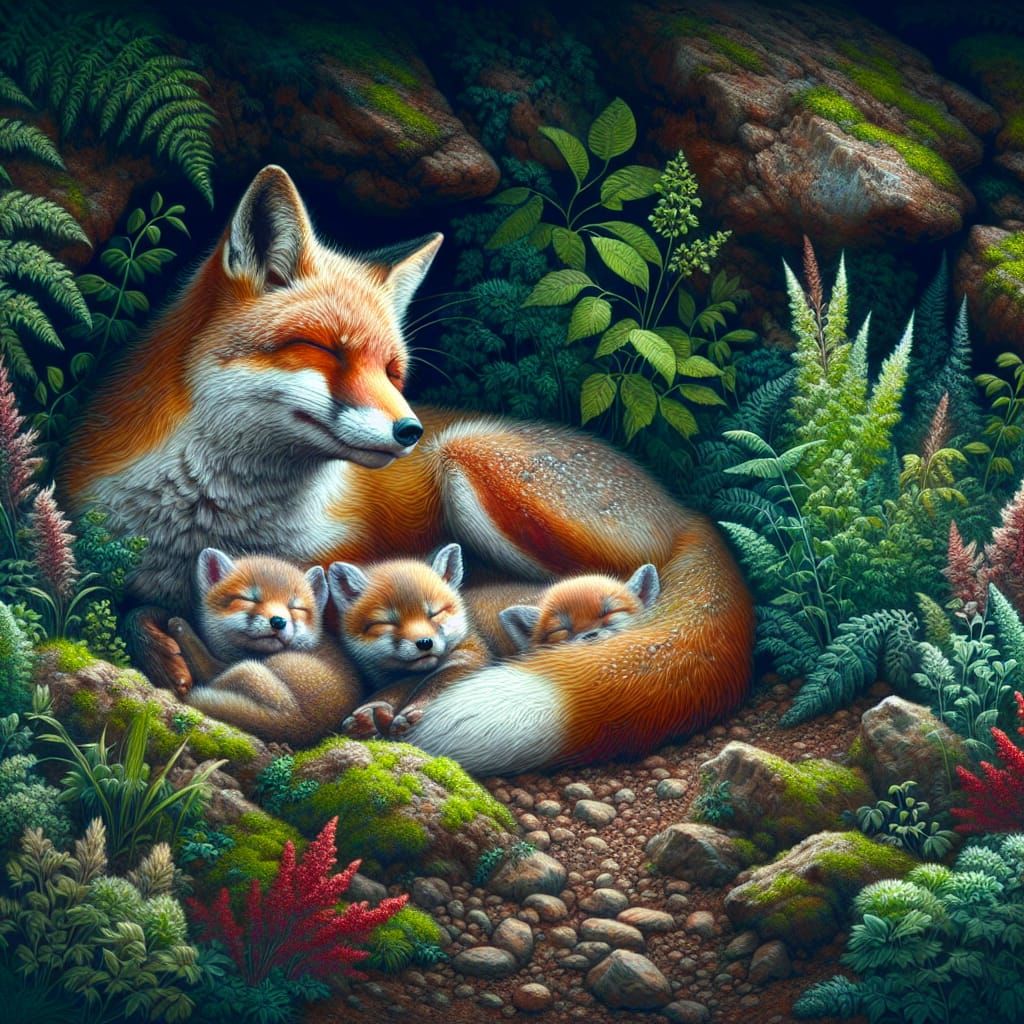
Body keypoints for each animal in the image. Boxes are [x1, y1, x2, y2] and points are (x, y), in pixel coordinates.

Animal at [166, 548, 363, 747]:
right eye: (249, 599)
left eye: (295, 608)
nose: (278, 621)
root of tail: (298, 724)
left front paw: (180, 627)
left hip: (244, 672)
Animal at [327, 542, 490, 738]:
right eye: (387, 623)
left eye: (435, 613)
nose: (425, 643)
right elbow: (398, 687)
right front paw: (372, 715)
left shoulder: (470, 657)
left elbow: (439, 683)